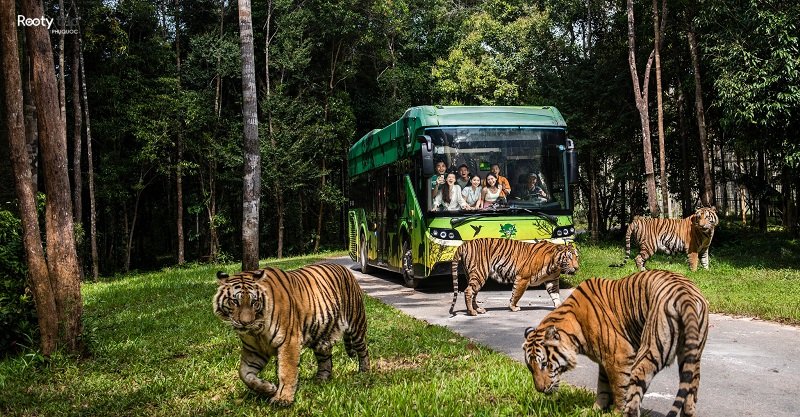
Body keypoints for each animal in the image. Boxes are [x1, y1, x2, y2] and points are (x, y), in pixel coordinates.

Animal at [211, 262, 370, 404]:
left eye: (254, 303)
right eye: (234, 302)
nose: (245, 322)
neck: (257, 331)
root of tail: (345, 268)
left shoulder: (288, 341)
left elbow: (286, 371)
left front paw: (282, 399)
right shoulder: (254, 350)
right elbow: (244, 374)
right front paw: (268, 388)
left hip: (357, 324)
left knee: (363, 351)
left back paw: (364, 373)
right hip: (321, 335)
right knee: (325, 360)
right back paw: (320, 380)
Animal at [520, 268, 708, 414]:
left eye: (544, 364)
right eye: (530, 367)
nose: (540, 389)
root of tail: (684, 294)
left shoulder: (619, 357)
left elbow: (619, 388)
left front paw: (615, 412)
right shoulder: (605, 359)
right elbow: (602, 387)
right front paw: (596, 409)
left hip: (650, 350)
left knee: (635, 396)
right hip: (691, 357)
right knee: (691, 395)